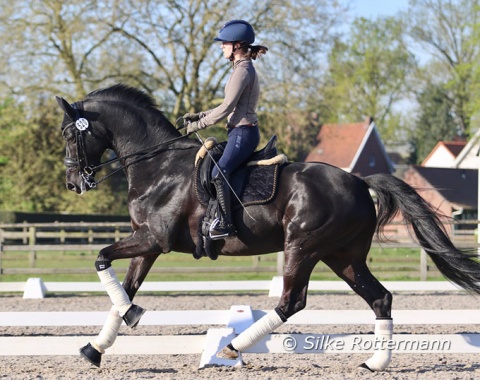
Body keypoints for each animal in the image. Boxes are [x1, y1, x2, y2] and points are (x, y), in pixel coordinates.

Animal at [57, 83, 480, 372]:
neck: (157, 165)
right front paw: (96, 348)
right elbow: (123, 287)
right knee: (380, 299)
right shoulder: (146, 244)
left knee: (291, 302)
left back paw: (228, 349)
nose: (74, 183)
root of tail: (360, 181)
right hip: (342, 256)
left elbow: (101, 259)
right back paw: (375, 363)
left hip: (303, 248)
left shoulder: (152, 239)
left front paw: (131, 316)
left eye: (69, 133)